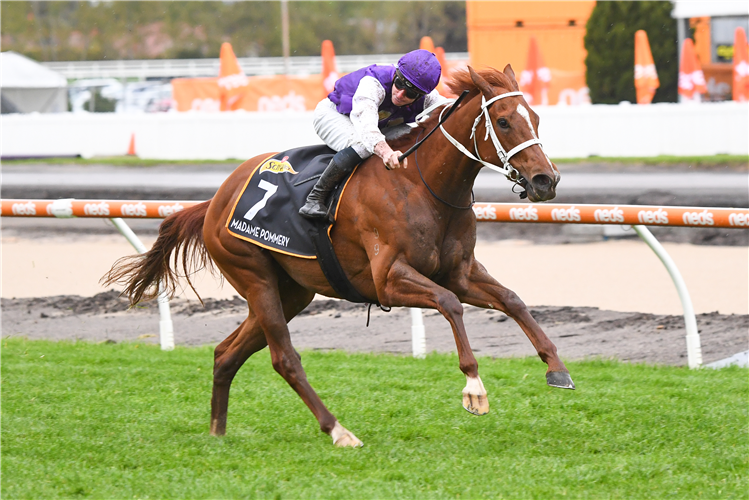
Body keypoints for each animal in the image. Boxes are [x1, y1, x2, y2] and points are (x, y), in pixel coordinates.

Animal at [105, 64, 572, 448]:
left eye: (536, 118)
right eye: (504, 121)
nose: (545, 180)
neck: (420, 184)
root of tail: (215, 200)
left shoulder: (460, 271)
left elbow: (511, 299)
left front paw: (557, 368)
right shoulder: (388, 279)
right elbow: (449, 304)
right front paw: (474, 386)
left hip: (291, 292)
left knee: (226, 353)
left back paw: (217, 432)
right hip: (254, 275)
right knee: (284, 358)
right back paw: (338, 430)